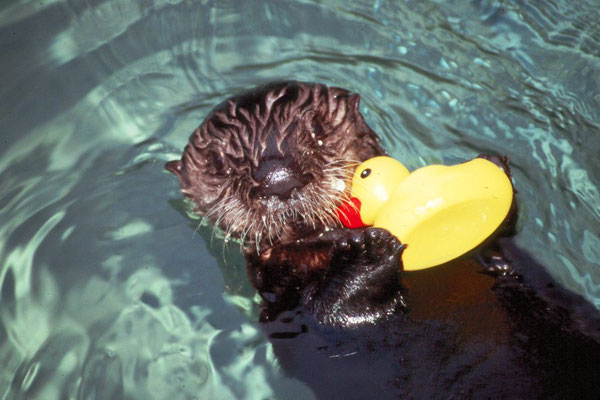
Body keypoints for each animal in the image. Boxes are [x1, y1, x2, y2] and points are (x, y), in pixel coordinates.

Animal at [166, 80, 600, 396]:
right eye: (219, 163)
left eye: (317, 131)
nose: (277, 178)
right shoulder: (287, 307)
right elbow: (336, 321)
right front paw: (368, 254)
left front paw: (496, 169)